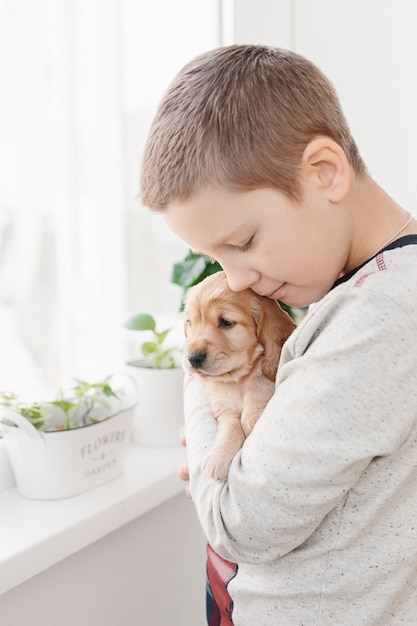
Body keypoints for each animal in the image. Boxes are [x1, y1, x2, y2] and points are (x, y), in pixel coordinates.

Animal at [183, 270, 296, 480]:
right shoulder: (220, 403)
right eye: (190, 323)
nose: (193, 358)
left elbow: (258, 381)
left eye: (226, 322)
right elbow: (230, 424)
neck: (235, 379)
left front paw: (253, 416)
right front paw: (219, 456)